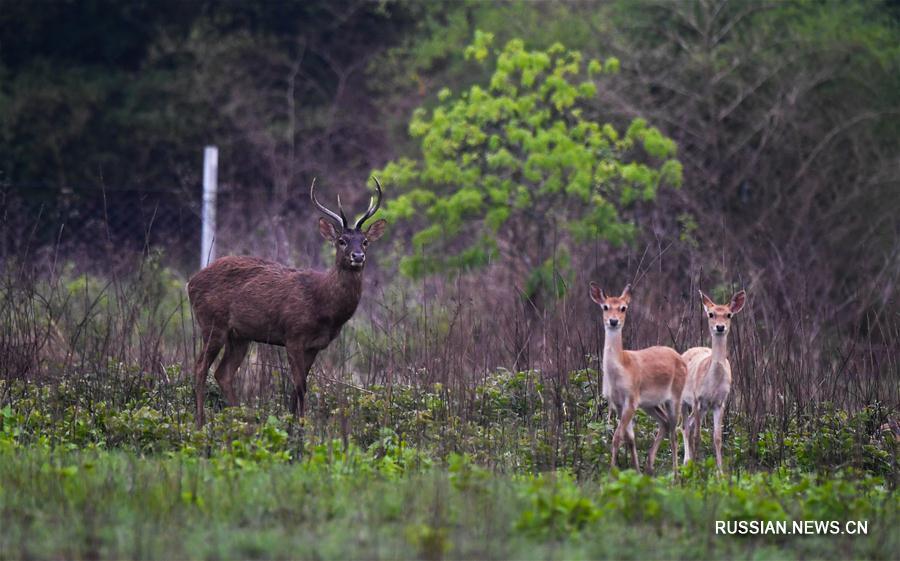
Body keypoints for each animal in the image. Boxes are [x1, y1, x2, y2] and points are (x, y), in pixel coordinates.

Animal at [592, 284, 688, 472]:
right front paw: (635, 470)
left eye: (623, 308)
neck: (622, 367)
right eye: (605, 306)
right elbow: (629, 438)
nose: (613, 321)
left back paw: (676, 473)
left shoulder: (631, 399)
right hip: (650, 404)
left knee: (675, 431)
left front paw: (611, 471)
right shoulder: (618, 403)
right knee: (665, 423)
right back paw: (649, 465)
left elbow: (617, 436)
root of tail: (682, 359)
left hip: (675, 397)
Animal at [684, 290, 744, 470]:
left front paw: (720, 471)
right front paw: (696, 470)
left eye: (729, 314)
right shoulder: (697, 399)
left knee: (688, 425)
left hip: (704, 408)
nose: (720, 327)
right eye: (711, 314)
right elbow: (697, 436)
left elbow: (717, 438)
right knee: (684, 427)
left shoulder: (720, 403)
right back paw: (686, 462)